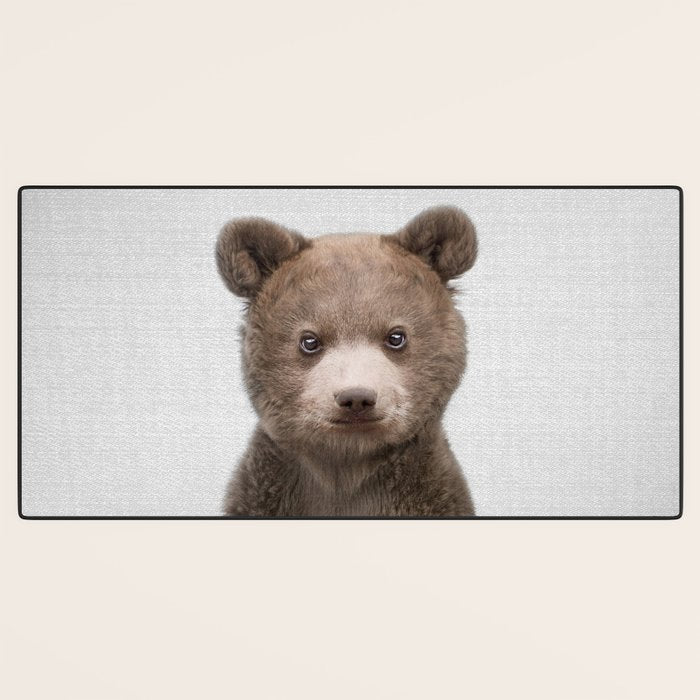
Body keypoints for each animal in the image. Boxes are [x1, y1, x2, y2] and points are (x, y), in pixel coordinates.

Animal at [215, 205, 478, 517]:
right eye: (310, 341)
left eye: (396, 336)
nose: (356, 398)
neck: (347, 467)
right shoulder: (265, 492)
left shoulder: (430, 492)